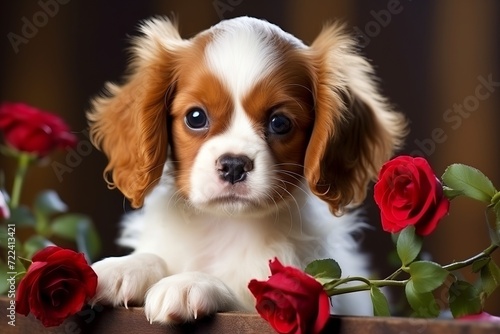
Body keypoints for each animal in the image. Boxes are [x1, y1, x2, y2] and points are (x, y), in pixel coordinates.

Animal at [86, 15, 406, 324]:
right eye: (195, 117)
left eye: (280, 123)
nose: (233, 165)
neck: (224, 224)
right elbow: (154, 255)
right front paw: (123, 267)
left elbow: (244, 288)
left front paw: (189, 282)